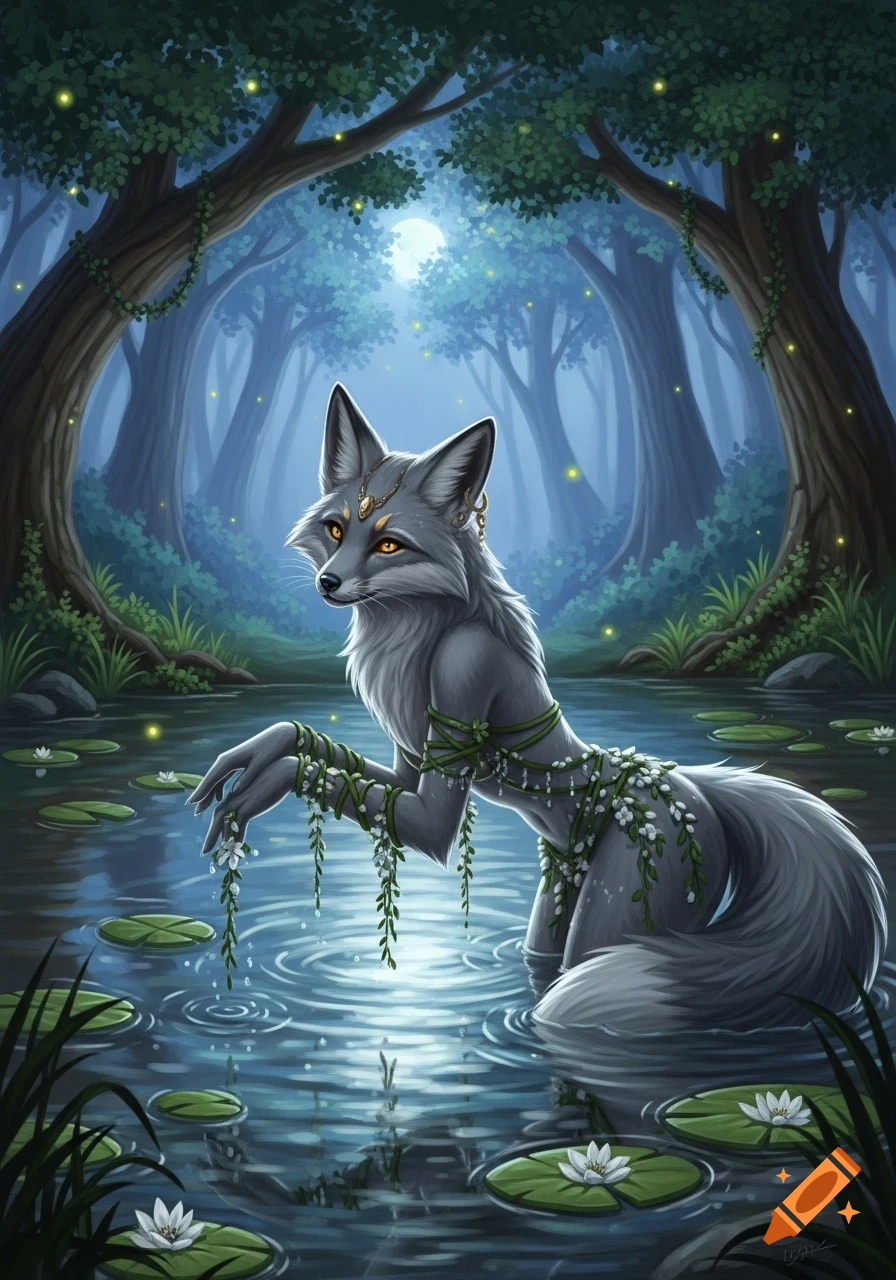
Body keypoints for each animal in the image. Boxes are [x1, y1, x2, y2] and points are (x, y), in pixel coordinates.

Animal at [190, 383, 887, 1034]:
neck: (422, 632)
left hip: (626, 904)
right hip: (558, 900)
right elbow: (328, 757)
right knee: (544, 957)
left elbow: (421, 821)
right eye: (337, 529)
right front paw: (268, 748)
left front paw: (262, 784)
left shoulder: (462, 676)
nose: (328, 583)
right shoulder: (411, 760)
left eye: (389, 545)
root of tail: (691, 785)